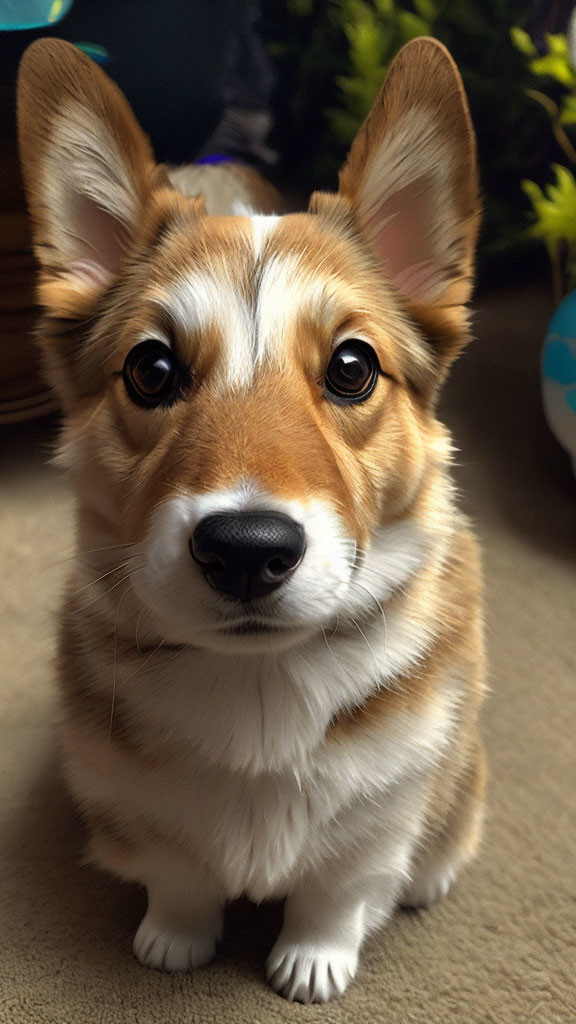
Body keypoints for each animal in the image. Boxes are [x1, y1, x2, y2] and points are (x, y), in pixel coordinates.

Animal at [16, 37, 483, 999]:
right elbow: (179, 876)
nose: (244, 550)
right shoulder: (136, 804)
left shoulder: (381, 817)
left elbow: (335, 893)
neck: (261, 681)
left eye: (352, 367)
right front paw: (174, 940)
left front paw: (314, 961)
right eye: (151, 370)